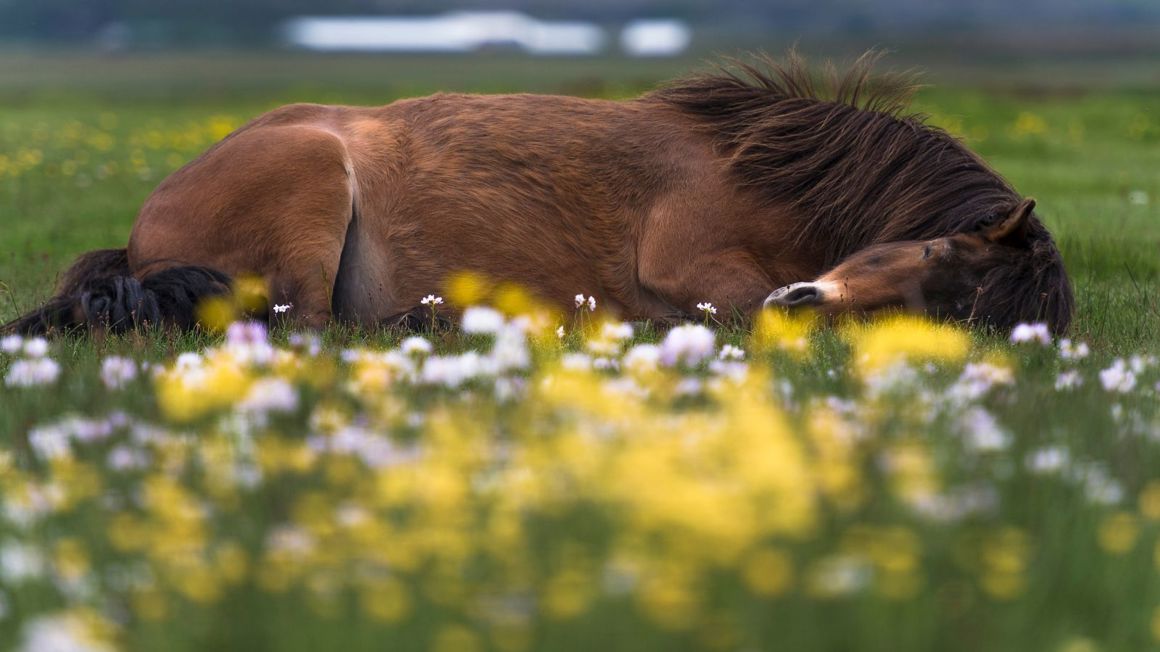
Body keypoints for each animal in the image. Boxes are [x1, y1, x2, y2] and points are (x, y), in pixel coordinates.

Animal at [2, 50, 1067, 331]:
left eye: (950, 311)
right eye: (933, 247)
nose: (809, 299)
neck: (754, 173)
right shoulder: (698, 274)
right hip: (310, 185)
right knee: (306, 328)